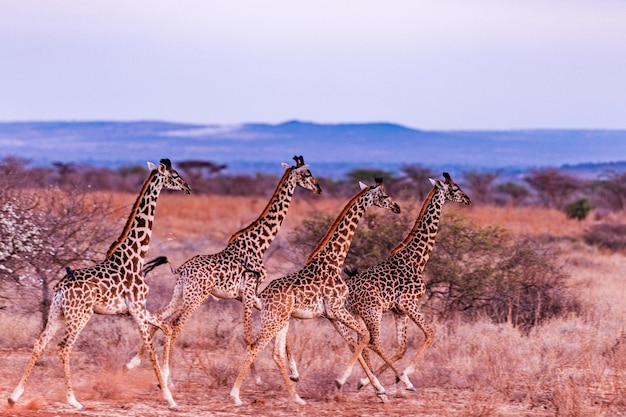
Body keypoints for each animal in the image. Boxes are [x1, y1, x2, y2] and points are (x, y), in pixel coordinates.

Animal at [6, 159, 190, 410]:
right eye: (174, 175)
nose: (188, 188)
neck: (136, 256)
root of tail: (62, 288)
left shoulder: (138, 309)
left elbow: (167, 328)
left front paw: (165, 382)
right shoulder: (137, 308)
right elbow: (152, 346)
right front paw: (169, 398)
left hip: (58, 313)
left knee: (40, 342)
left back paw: (14, 396)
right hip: (80, 316)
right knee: (63, 347)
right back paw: (74, 400)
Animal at [124, 155, 320, 384]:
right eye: (307, 174)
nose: (318, 189)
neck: (261, 244)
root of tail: (181, 269)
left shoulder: (248, 294)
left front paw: (295, 372)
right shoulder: (248, 291)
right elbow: (248, 335)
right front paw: (257, 378)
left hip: (181, 294)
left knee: (159, 317)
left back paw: (134, 362)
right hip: (196, 297)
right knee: (175, 325)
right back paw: (167, 376)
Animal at [229, 177, 400, 404]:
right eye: (385, 195)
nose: (397, 207)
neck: (335, 259)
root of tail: (263, 296)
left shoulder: (332, 314)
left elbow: (356, 341)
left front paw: (379, 389)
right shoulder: (336, 309)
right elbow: (364, 336)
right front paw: (343, 381)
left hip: (281, 320)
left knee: (275, 353)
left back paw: (296, 398)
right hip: (274, 320)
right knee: (254, 346)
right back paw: (236, 396)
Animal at [332, 171, 468, 390]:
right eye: (455, 188)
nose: (468, 199)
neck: (417, 259)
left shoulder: (399, 310)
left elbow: (402, 347)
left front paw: (376, 380)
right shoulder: (408, 303)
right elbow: (430, 333)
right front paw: (404, 374)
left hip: (355, 314)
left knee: (360, 341)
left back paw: (364, 381)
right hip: (372, 312)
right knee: (371, 342)